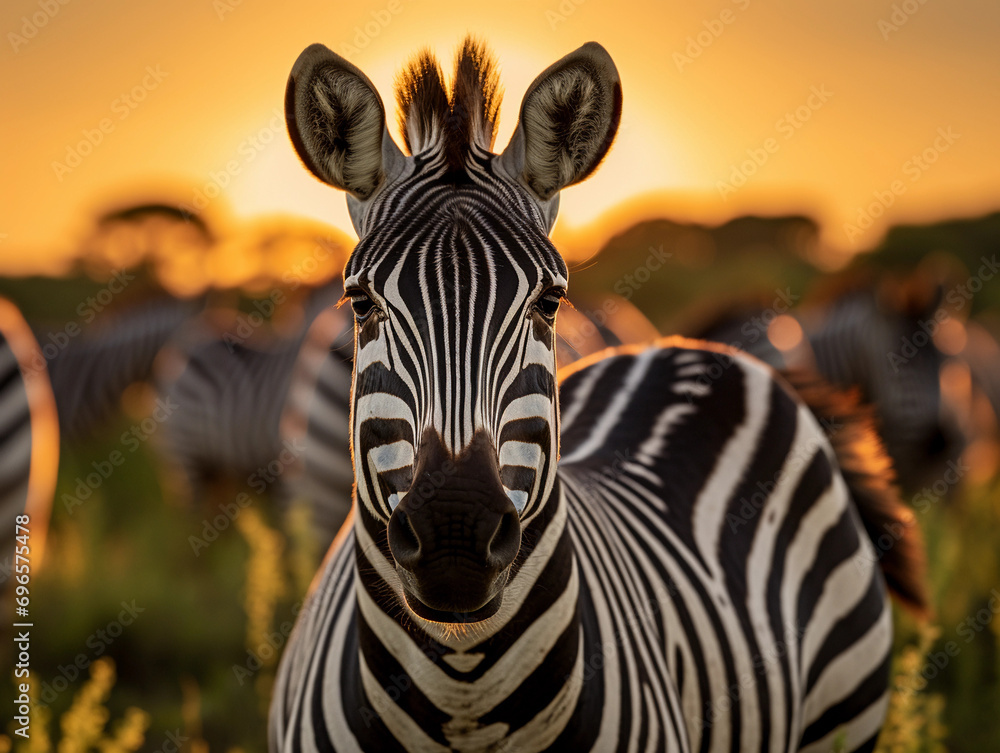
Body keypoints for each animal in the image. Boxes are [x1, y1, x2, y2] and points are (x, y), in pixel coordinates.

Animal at [269, 38, 927, 752]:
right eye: (360, 303)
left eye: (550, 302)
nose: (455, 532)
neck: (464, 695)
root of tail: (686, 349)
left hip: (844, 709)